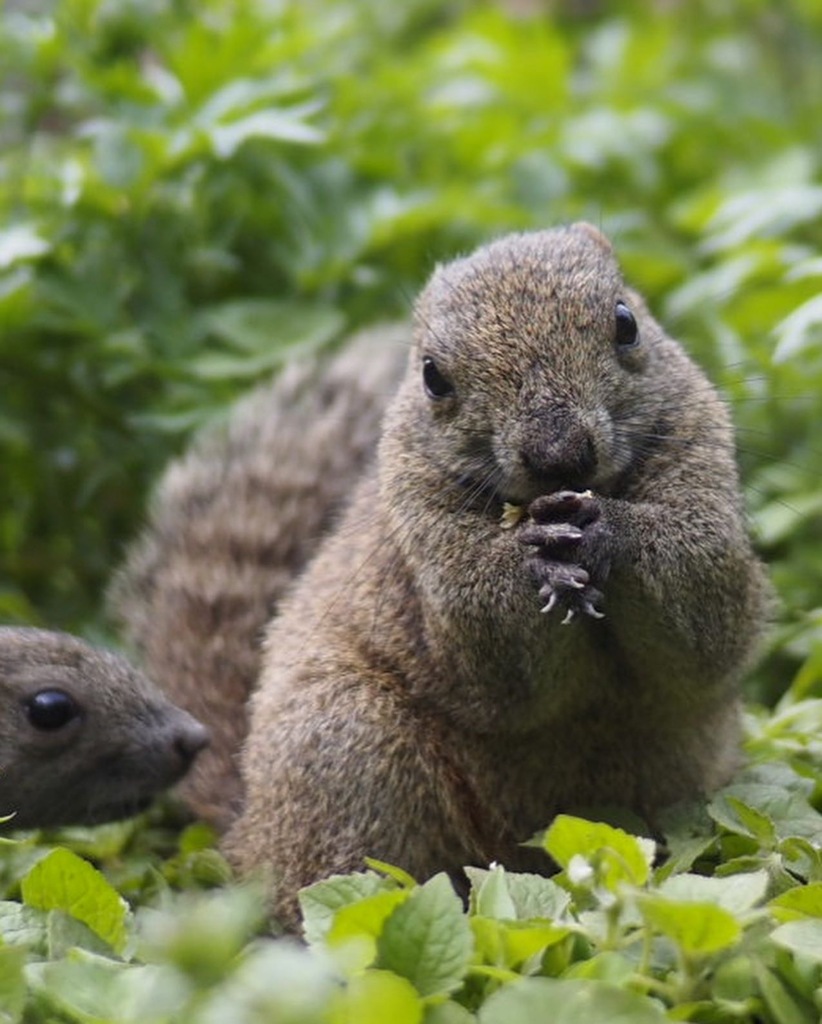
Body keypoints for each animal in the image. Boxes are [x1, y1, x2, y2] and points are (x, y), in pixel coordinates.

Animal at [213, 224, 769, 929]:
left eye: (627, 324)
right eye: (432, 376)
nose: (560, 455)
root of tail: (247, 834)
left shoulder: (699, 452)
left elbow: (704, 607)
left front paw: (609, 530)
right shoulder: (427, 539)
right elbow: (493, 657)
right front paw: (536, 560)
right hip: (343, 748)